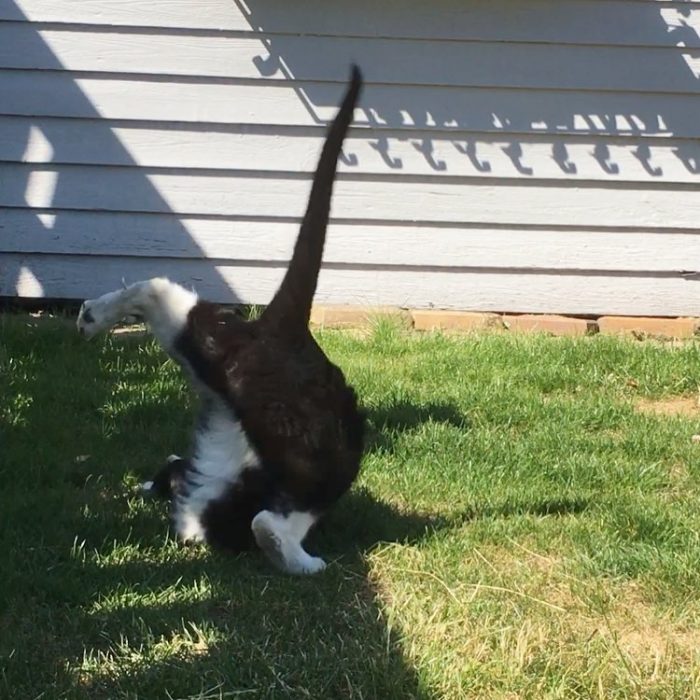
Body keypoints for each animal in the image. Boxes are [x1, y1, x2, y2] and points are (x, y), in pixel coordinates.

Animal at [77, 65, 366, 576]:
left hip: (203, 339)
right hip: (323, 450)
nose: (153, 485)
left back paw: (94, 315)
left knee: (155, 287)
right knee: (273, 519)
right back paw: (301, 560)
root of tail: (286, 332)